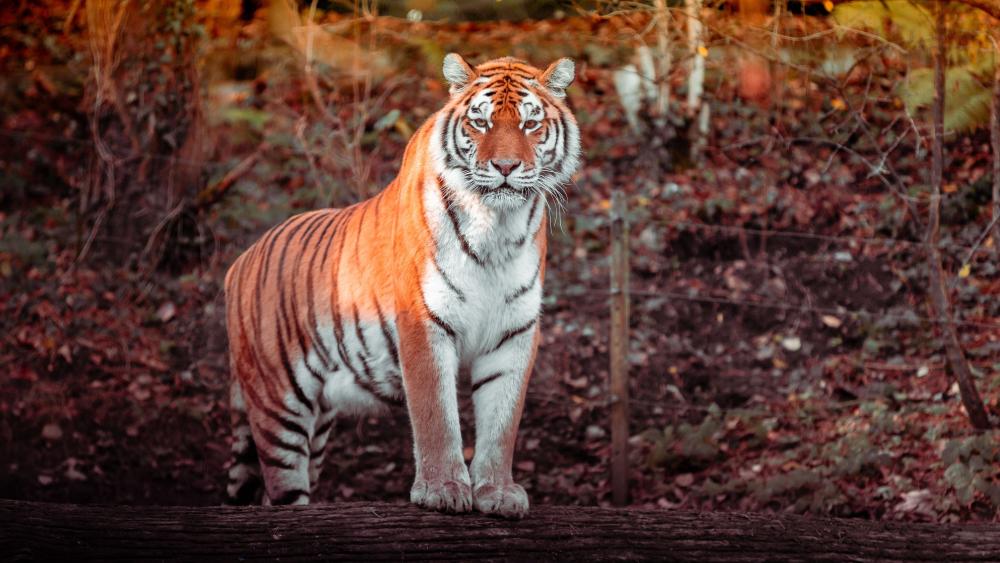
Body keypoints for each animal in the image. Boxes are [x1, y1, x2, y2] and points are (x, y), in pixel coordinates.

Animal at [223, 54, 580, 518]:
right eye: (480, 123)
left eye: (530, 124)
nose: (505, 167)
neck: (497, 229)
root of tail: (239, 261)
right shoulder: (423, 322)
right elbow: (436, 416)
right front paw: (443, 489)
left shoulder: (514, 333)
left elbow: (502, 422)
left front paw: (498, 492)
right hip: (278, 405)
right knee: (279, 489)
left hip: (317, 424)